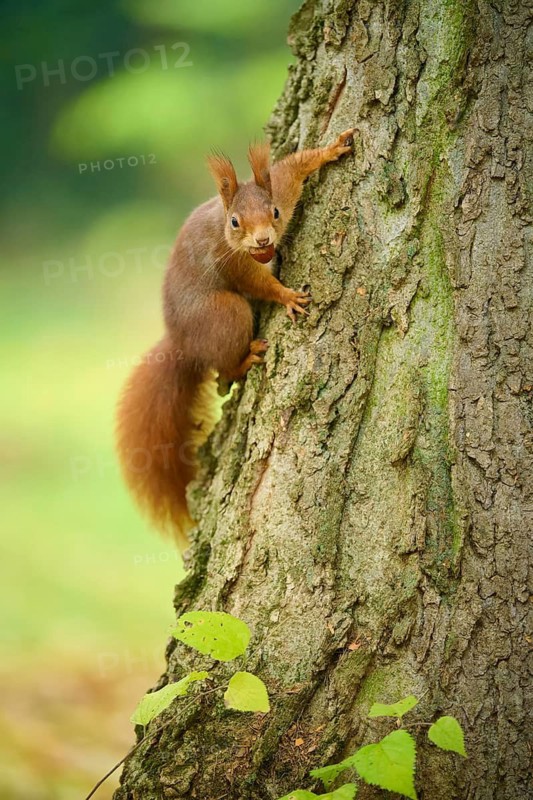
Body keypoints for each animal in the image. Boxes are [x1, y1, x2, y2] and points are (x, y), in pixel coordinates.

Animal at [116, 128, 356, 548]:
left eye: (274, 212)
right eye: (234, 222)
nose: (262, 242)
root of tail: (182, 344)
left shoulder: (282, 189)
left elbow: (292, 168)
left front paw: (331, 148)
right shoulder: (233, 263)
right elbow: (260, 285)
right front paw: (286, 296)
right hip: (226, 315)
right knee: (223, 369)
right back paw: (246, 359)